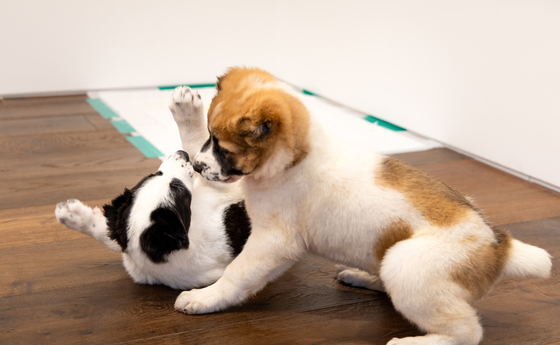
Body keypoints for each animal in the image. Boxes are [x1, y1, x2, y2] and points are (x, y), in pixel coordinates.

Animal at [54, 85, 252, 288]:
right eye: (177, 188)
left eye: (154, 174)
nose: (181, 154)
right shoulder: (222, 189)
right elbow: (198, 147)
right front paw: (187, 109)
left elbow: (110, 234)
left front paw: (74, 215)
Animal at [176, 67, 552, 344]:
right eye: (210, 137)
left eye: (224, 148)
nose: (198, 167)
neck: (296, 159)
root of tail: (498, 248)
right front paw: (185, 111)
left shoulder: (273, 242)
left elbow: (236, 273)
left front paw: (204, 297)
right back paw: (363, 276)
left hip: (408, 266)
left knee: (467, 332)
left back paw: (412, 342)